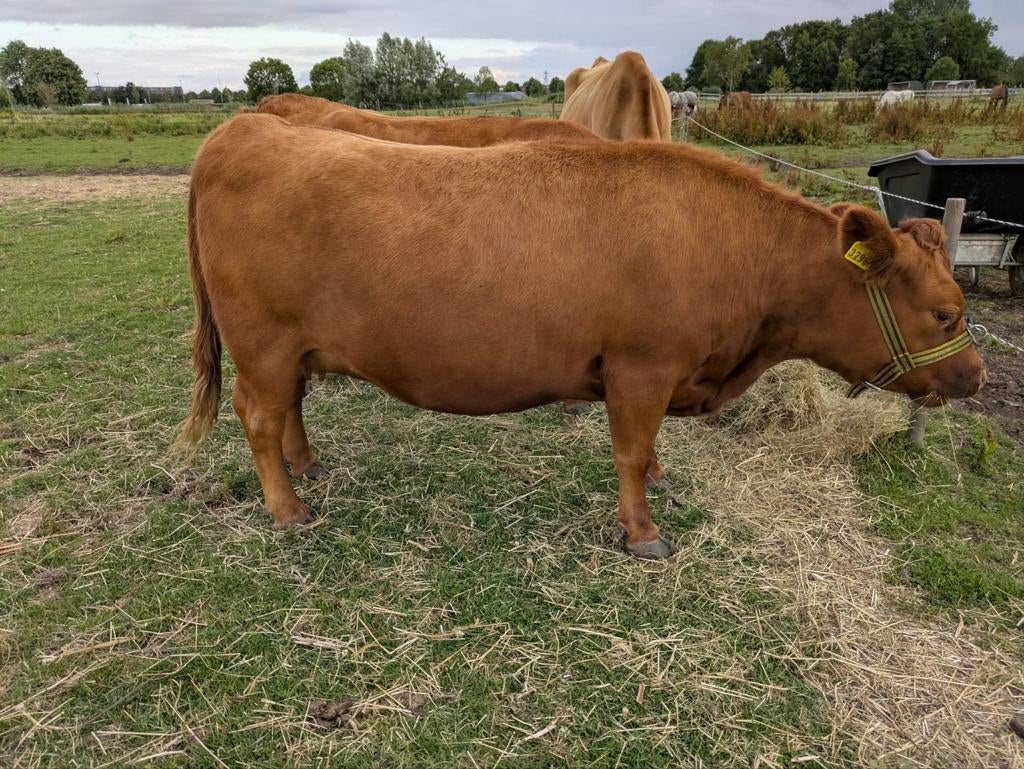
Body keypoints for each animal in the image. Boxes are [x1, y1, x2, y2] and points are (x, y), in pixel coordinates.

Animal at [177, 112, 985, 559]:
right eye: (946, 313)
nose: (977, 376)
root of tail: (242, 131)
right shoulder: (640, 367)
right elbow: (628, 448)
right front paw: (643, 531)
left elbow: (648, 447)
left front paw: (659, 477)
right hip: (264, 343)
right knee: (258, 415)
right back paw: (288, 510)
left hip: (293, 348)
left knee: (289, 408)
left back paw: (308, 466)